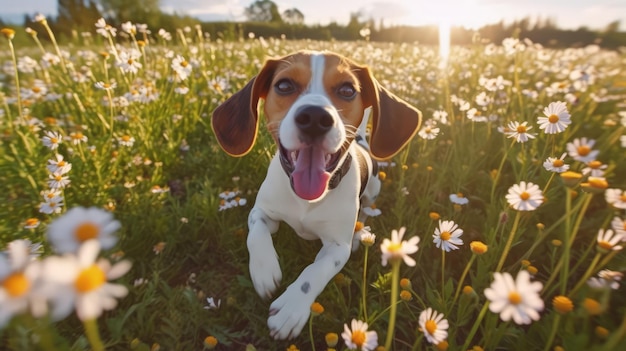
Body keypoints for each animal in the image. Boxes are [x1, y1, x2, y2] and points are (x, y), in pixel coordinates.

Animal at [212, 51, 422, 340]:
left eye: (347, 89)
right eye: (284, 85)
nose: (314, 117)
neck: (306, 199)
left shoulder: (337, 247)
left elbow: (315, 272)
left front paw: (291, 309)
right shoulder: (261, 211)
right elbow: (256, 233)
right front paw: (264, 270)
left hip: (373, 191)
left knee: (367, 211)